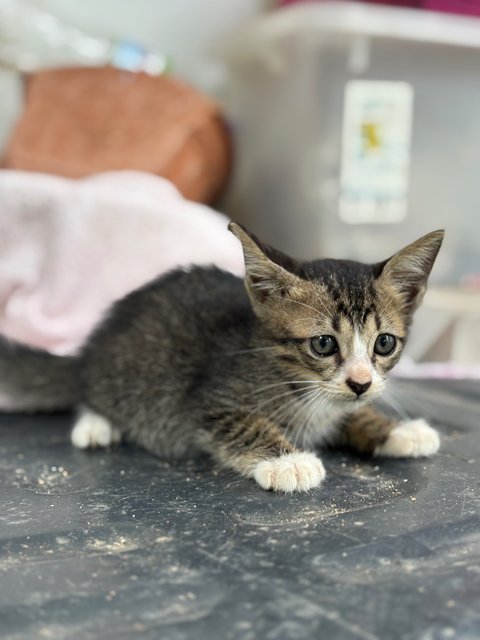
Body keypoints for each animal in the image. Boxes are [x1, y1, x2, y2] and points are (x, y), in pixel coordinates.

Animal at [0, 222, 442, 492]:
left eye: (384, 344)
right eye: (323, 344)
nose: (360, 382)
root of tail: (90, 346)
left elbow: (355, 414)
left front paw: (398, 430)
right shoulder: (208, 397)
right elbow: (242, 424)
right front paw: (289, 461)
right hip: (124, 373)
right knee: (89, 392)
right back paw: (95, 425)